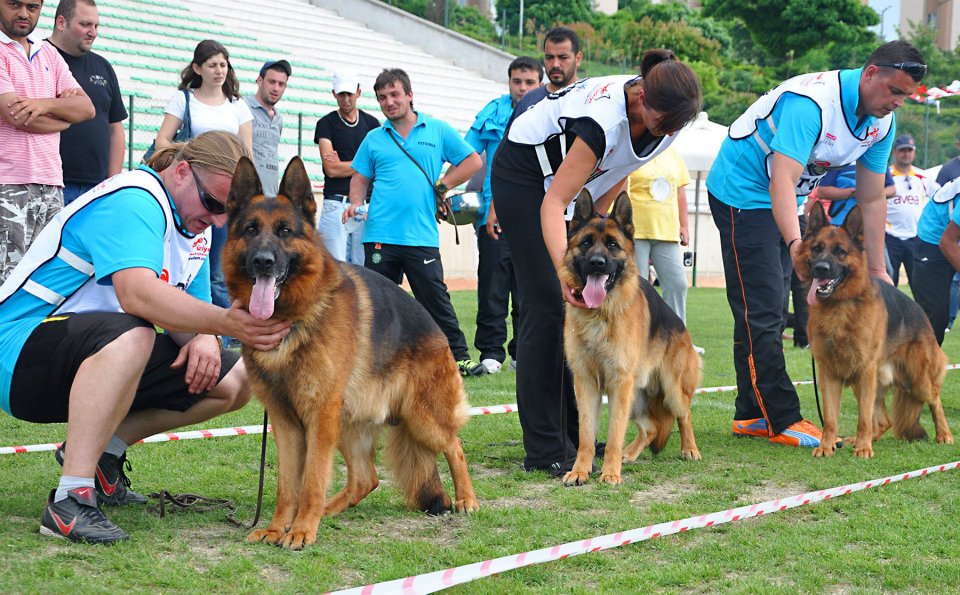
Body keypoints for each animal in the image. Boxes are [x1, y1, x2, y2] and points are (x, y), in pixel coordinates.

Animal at [224, 157, 480, 548]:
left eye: (285, 231)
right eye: (251, 230)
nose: (263, 262)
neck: (294, 316)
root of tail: (437, 330)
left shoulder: (318, 416)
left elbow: (312, 480)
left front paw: (301, 530)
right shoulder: (285, 422)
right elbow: (287, 485)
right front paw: (278, 527)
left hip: (420, 417)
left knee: (454, 446)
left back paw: (467, 499)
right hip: (347, 421)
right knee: (366, 478)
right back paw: (329, 510)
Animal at [556, 193, 696, 486]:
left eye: (612, 245)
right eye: (586, 243)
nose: (597, 262)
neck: (599, 315)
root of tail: (679, 323)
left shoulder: (618, 385)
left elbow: (613, 436)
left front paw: (610, 473)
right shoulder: (586, 384)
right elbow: (586, 436)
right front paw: (580, 470)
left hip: (670, 389)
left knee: (684, 414)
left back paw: (689, 449)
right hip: (636, 396)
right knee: (651, 428)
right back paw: (629, 454)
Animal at [796, 203, 952, 458]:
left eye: (840, 251)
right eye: (817, 248)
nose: (821, 268)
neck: (839, 306)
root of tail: (920, 311)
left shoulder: (865, 370)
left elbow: (863, 418)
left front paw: (863, 448)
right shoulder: (829, 373)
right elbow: (830, 418)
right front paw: (827, 445)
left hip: (915, 380)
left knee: (935, 399)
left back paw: (944, 435)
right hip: (866, 382)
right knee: (884, 421)